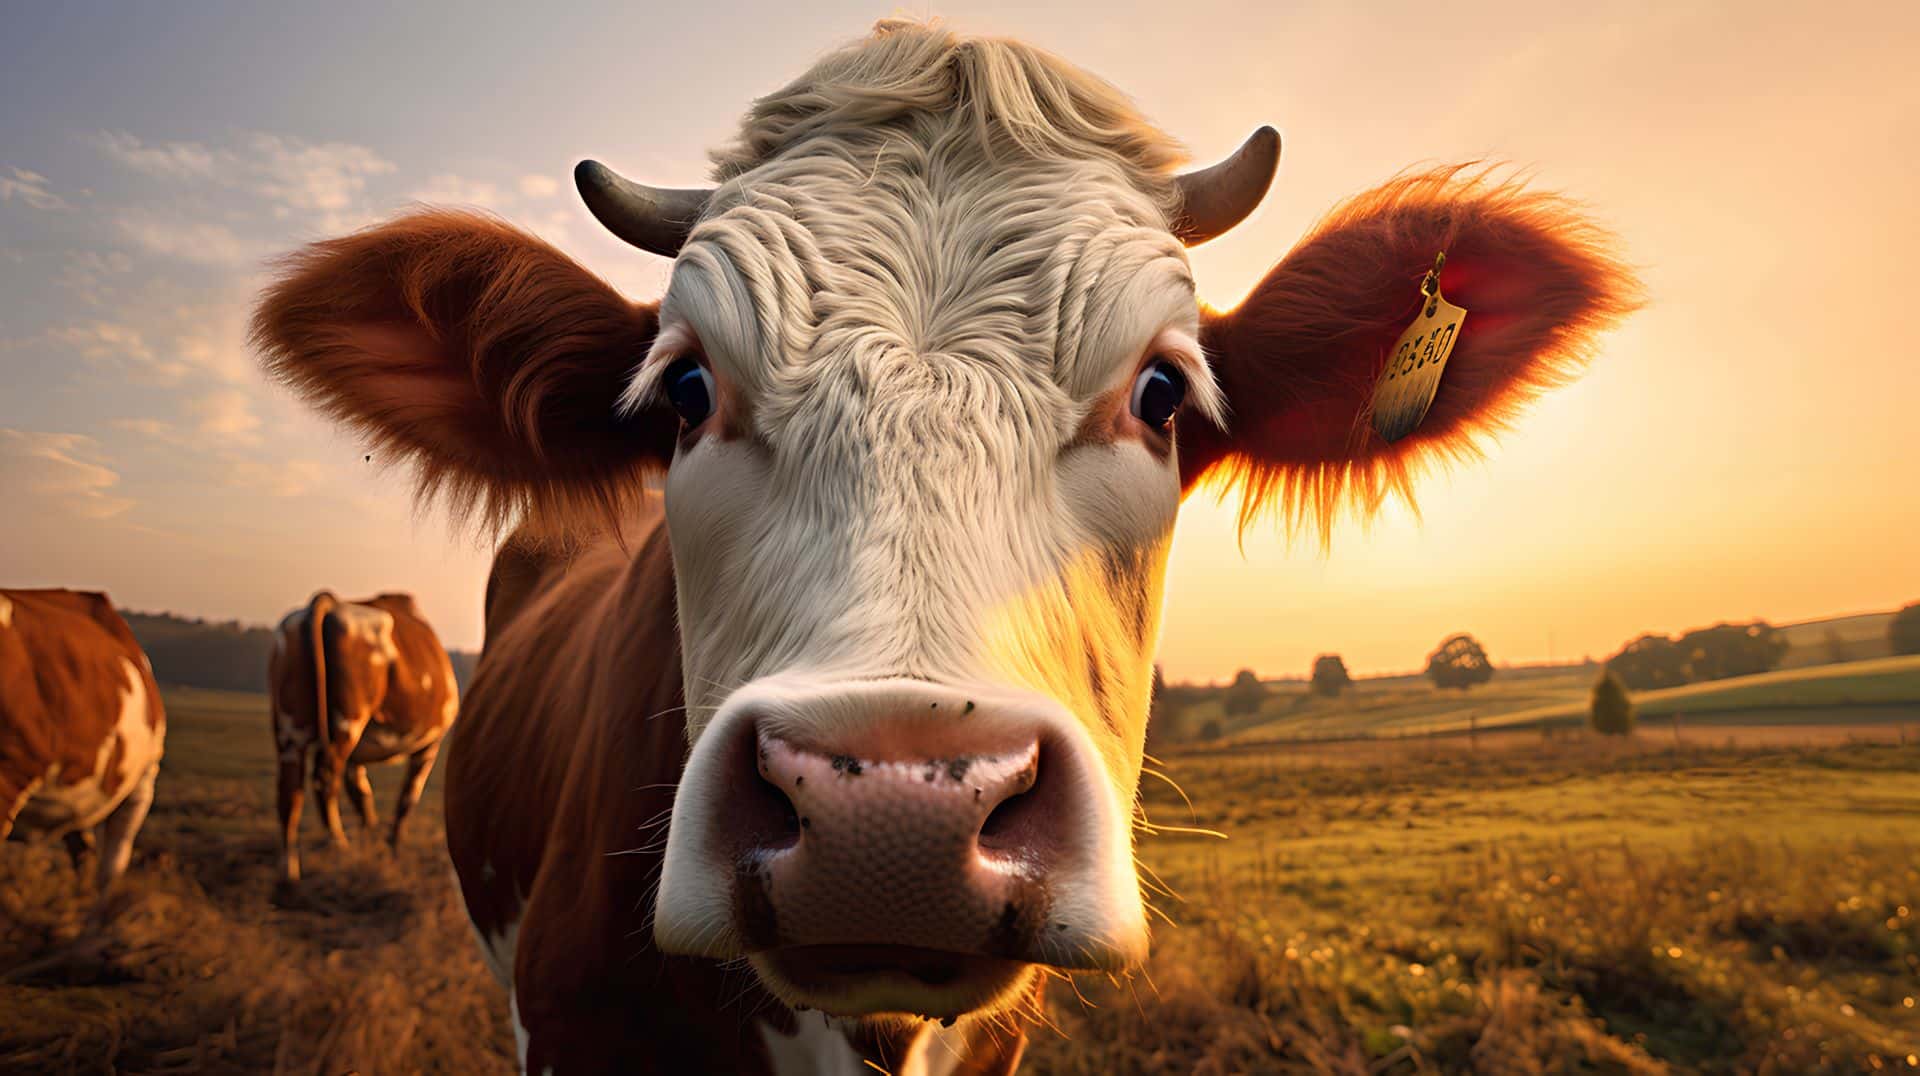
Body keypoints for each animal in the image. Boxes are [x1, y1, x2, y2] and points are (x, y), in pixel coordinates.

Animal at [268, 590, 458, 882]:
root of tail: (330, 602)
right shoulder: (429, 745)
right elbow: (407, 798)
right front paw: (392, 850)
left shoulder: (356, 759)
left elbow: (362, 795)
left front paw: (372, 844)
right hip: (349, 721)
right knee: (325, 778)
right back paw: (339, 846)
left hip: (290, 728)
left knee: (290, 792)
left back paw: (288, 869)